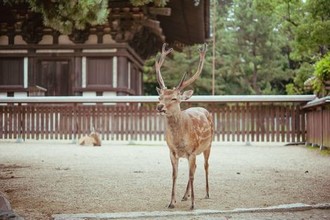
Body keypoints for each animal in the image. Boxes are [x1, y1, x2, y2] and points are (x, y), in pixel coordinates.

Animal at [155, 43, 214, 210]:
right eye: (159, 97)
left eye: (174, 98)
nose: (159, 107)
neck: (179, 142)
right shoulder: (172, 152)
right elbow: (174, 175)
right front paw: (171, 202)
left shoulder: (192, 151)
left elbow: (191, 175)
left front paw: (193, 204)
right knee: (195, 167)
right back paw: (185, 195)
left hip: (209, 145)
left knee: (205, 166)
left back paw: (207, 193)